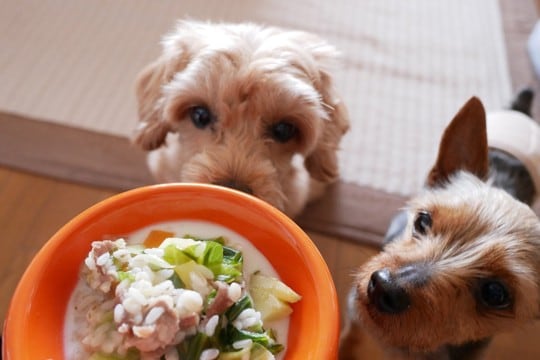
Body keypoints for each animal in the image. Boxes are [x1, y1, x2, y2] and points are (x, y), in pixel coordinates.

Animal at [340, 90, 540, 360]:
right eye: (422, 221)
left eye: (495, 293)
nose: (383, 286)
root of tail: (521, 111)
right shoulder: (355, 308)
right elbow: (350, 333)